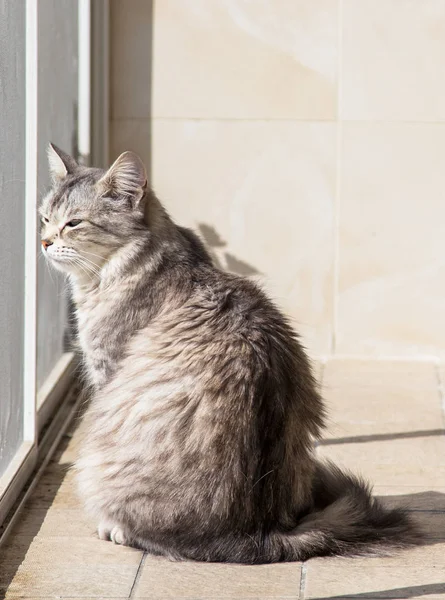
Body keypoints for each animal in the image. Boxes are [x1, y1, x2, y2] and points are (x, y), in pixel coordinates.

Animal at [40, 144, 420, 564]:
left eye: (74, 223)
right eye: (44, 218)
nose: (43, 242)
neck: (140, 259)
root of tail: (259, 533)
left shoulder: (106, 368)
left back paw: (115, 528)